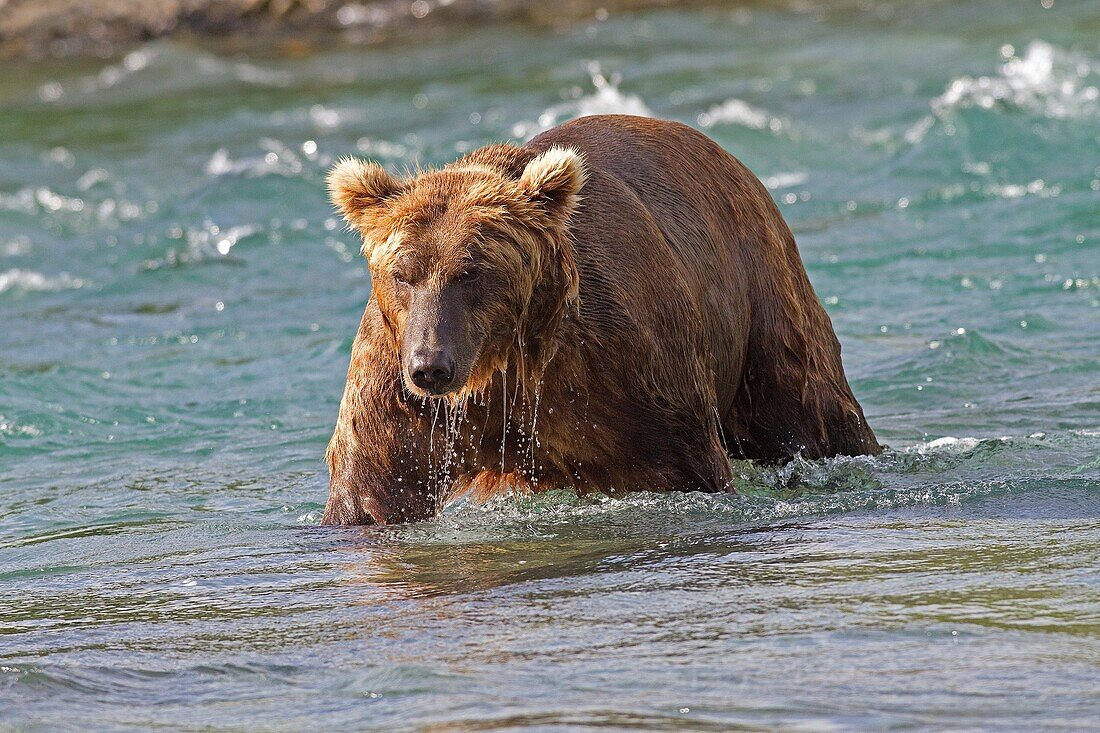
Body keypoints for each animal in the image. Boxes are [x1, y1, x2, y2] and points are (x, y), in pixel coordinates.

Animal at [321, 114, 880, 521]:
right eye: (402, 273)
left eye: (471, 272)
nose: (431, 367)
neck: (506, 363)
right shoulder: (396, 385)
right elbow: (372, 488)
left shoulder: (622, 370)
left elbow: (679, 469)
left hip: (763, 298)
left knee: (812, 406)